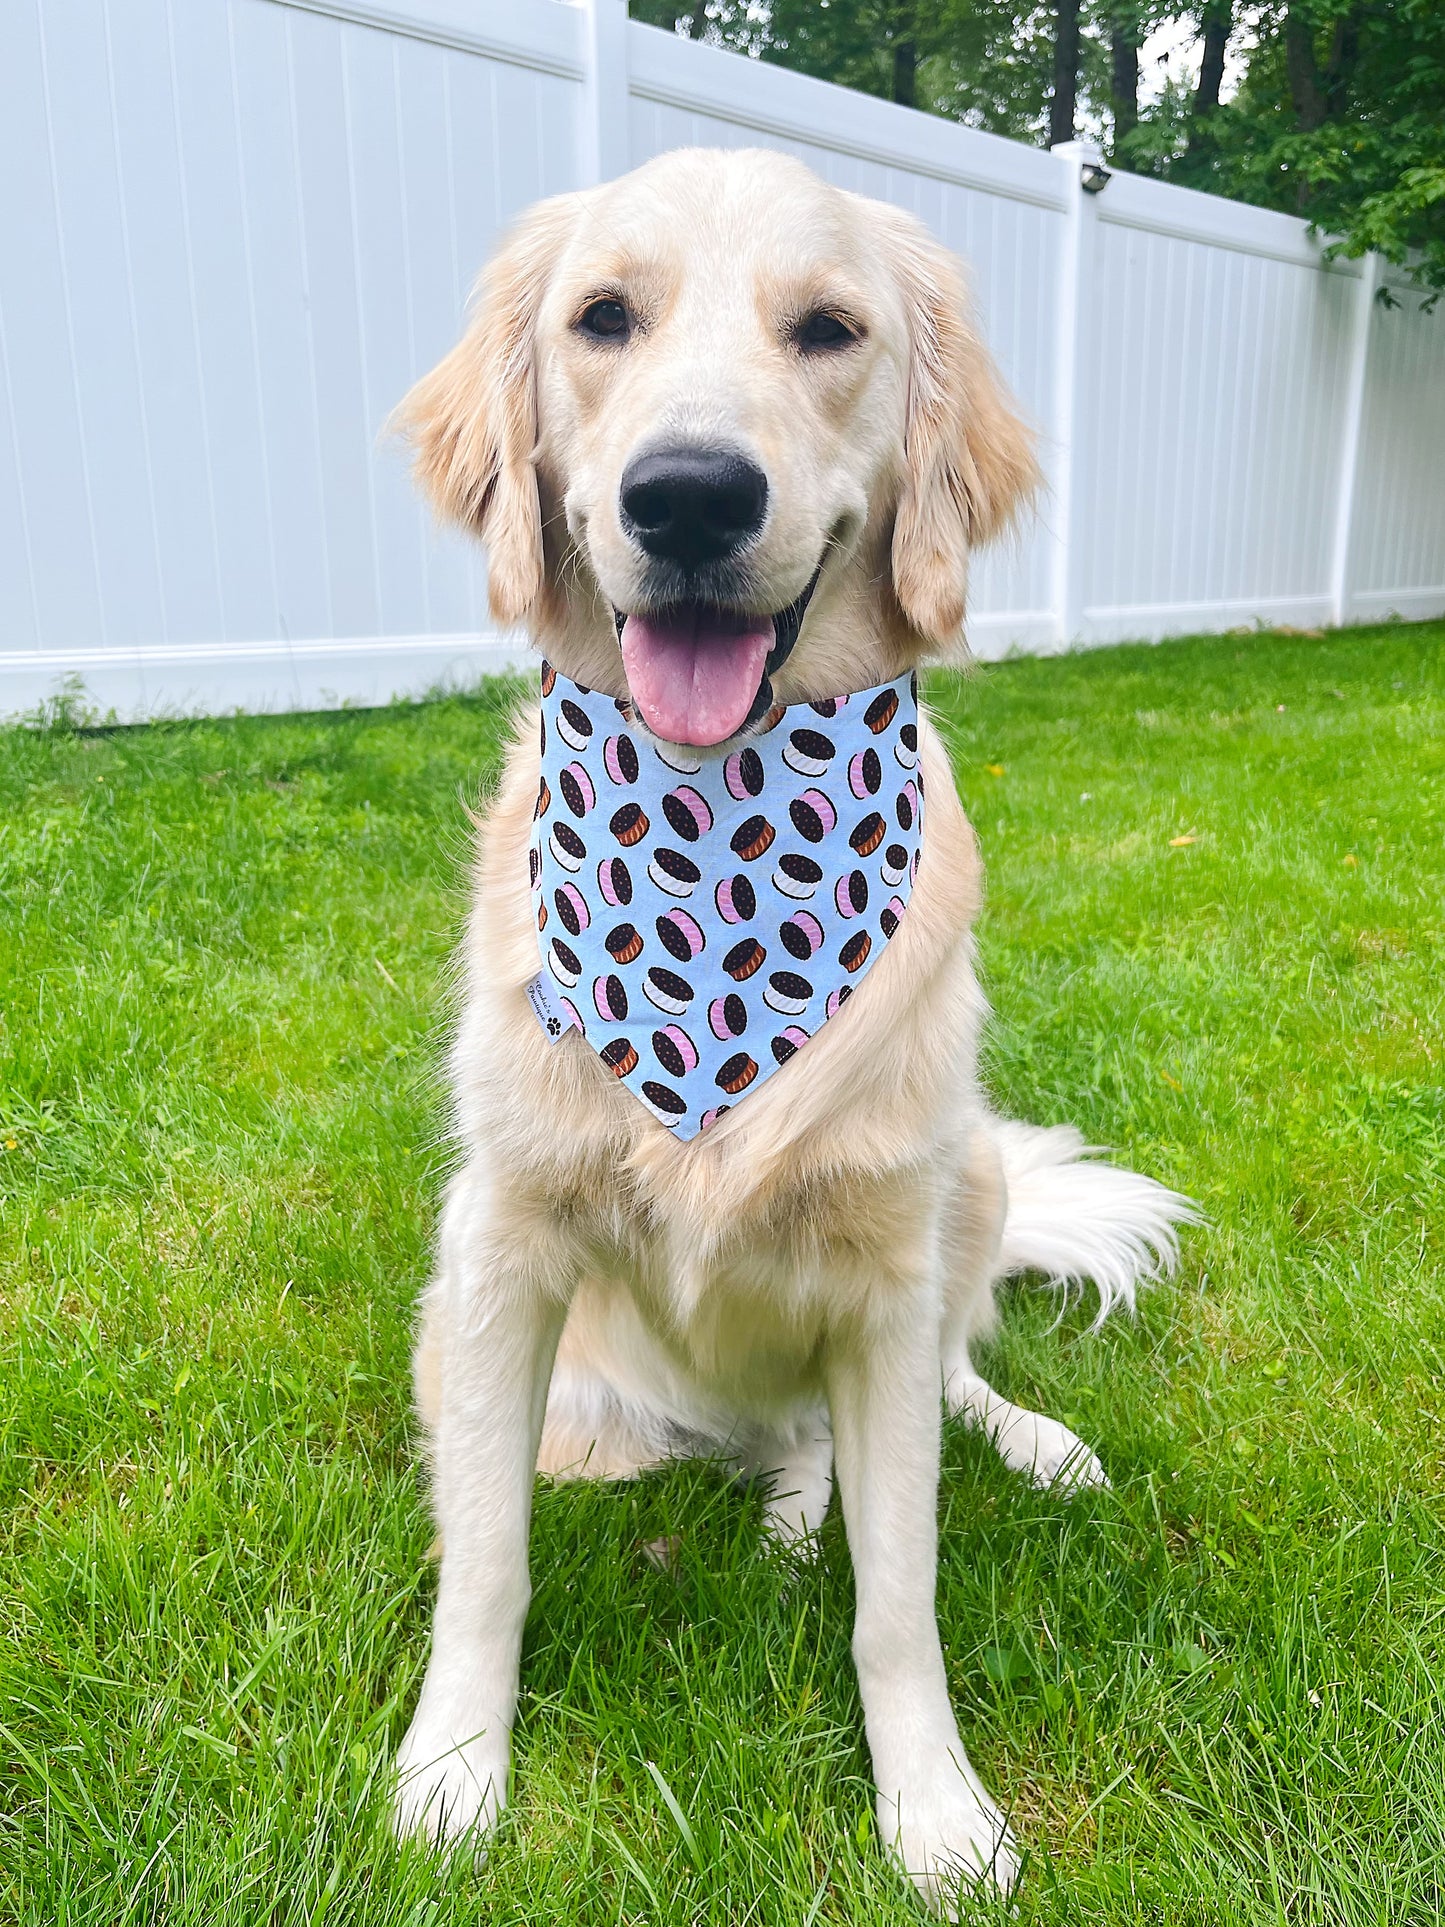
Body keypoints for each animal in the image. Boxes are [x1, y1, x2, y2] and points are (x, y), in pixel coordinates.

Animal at [391, 142, 1194, 1903]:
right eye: (601, 317)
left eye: (828, 328)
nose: (689, 495)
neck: (721, 847)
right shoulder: (496, 1248)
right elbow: (485, 1560)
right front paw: (453, 1771)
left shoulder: (887, 1275)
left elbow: (899, 1595)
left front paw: (937, 1811)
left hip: (968, 1181)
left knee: (935, 1384)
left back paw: (1025, 1441)